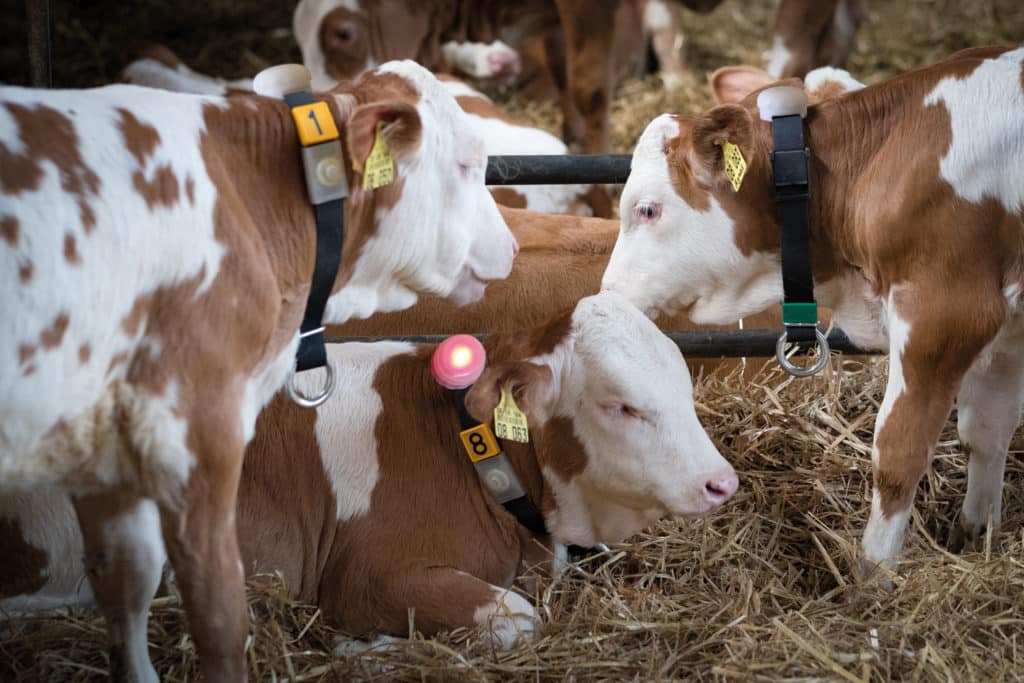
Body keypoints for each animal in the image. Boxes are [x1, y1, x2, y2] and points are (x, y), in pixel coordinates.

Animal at [0, 60, 512, 683]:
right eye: (466, 162)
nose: (512, 246)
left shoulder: (101, 447)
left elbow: (126, 582)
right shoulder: (198, 432)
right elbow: (220, 611)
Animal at [0, 290, 737, 651]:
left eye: (683, 384)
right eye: (622, 405)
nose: (722, 481)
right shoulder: (364, 575)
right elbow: (518, 617)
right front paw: (364, 644)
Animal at [598, 44, 1024, 577]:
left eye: (647, 209)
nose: (606, 295)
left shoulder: (945, 314)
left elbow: (898, 452)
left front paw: (873, 575)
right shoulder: (1006, 330)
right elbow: (986, 431)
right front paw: (977, 537)